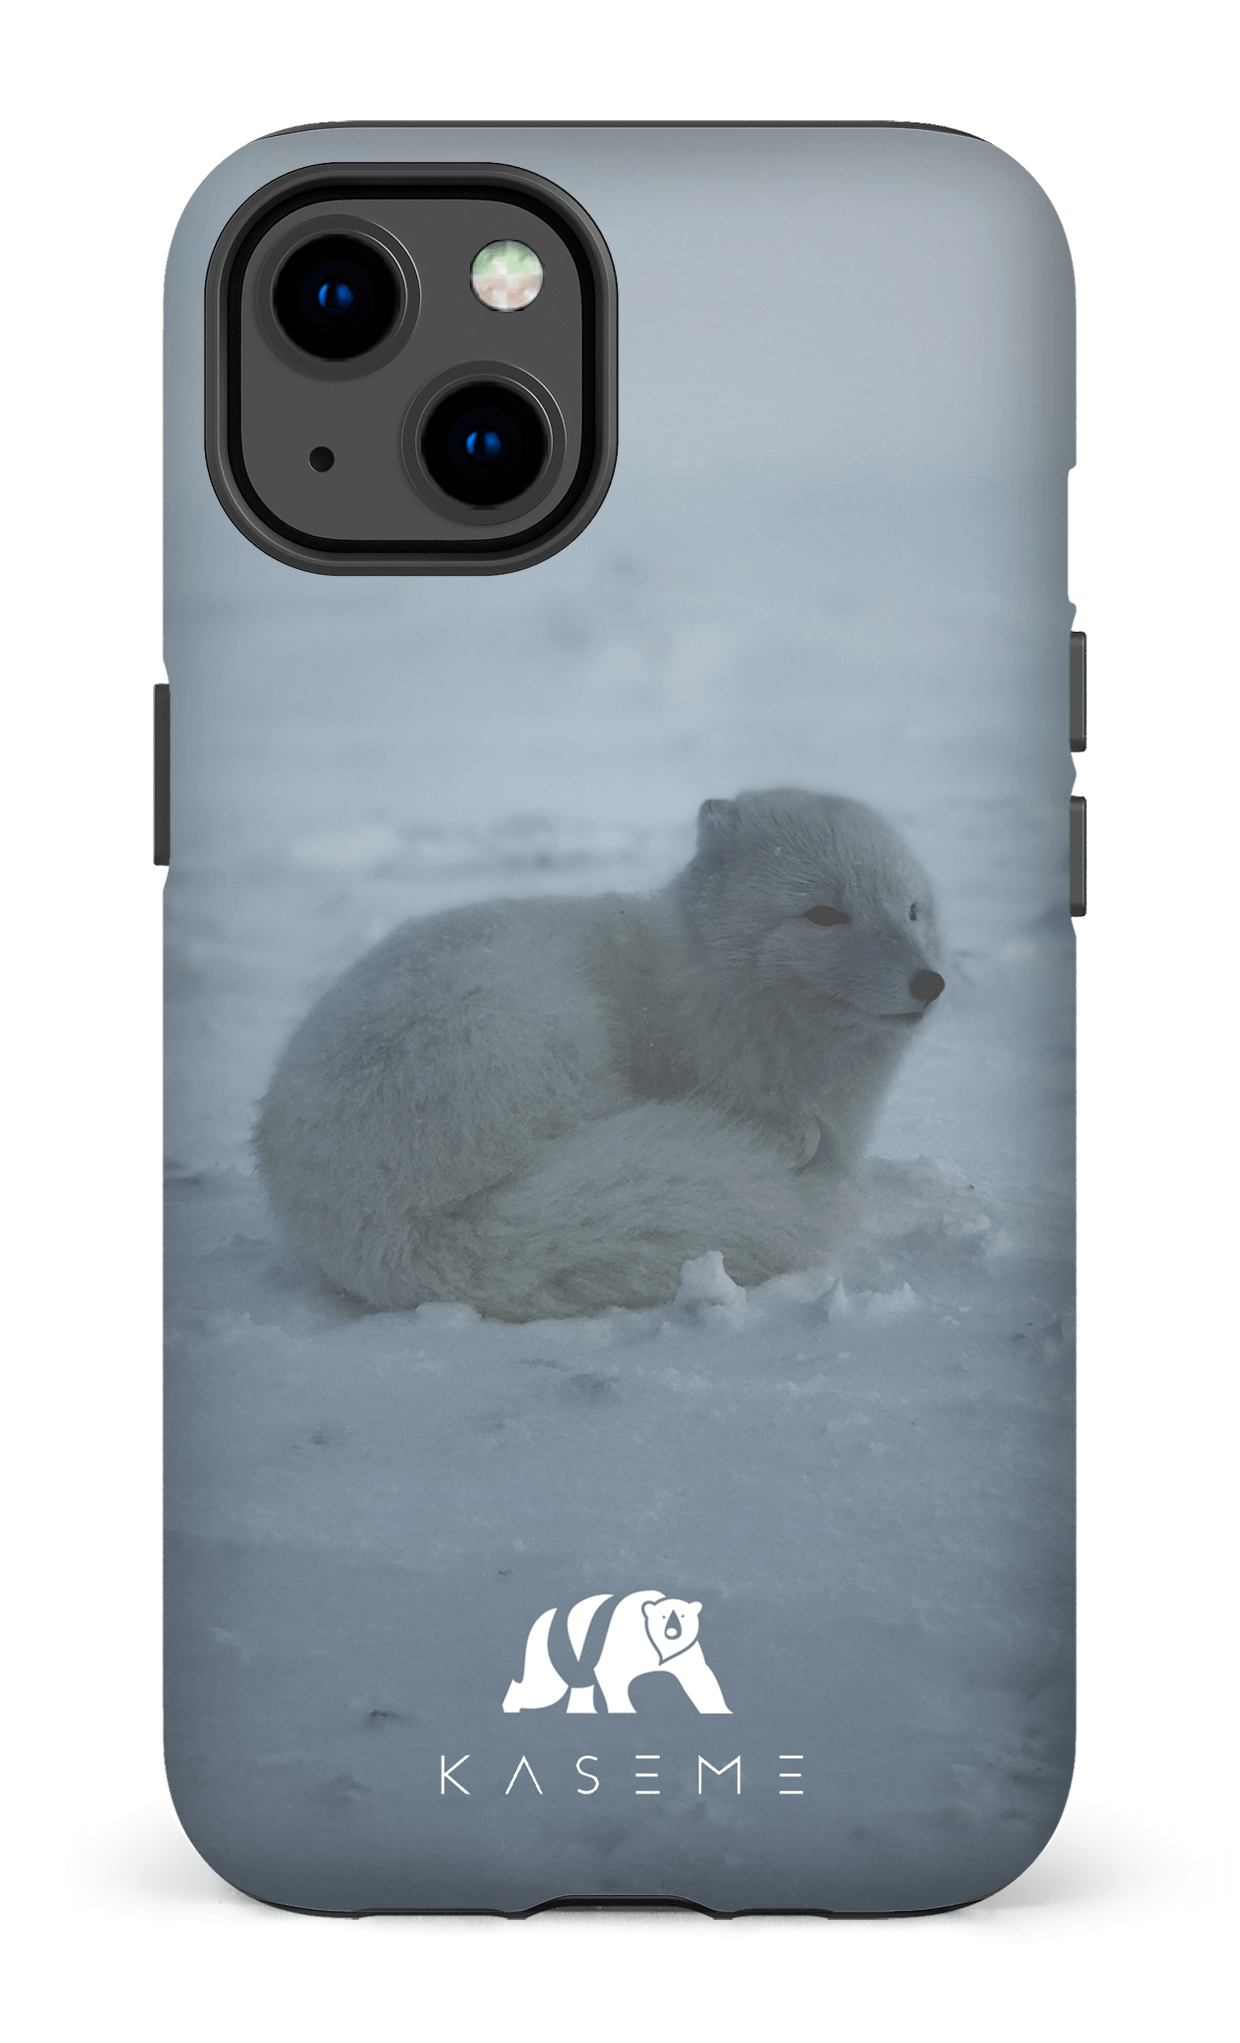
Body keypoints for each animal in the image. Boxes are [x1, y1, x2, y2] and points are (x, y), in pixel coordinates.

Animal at [255, 789, 945, 1320]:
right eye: (824, 914)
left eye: (911, 910)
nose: (930, 982)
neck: (704, 984)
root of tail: (393, 1229)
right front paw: (790, 1138)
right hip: (534, 1030)